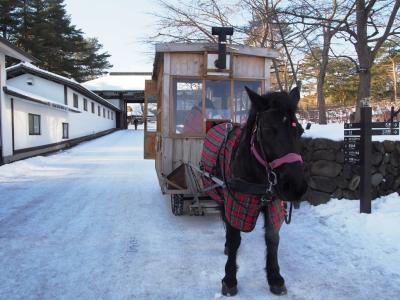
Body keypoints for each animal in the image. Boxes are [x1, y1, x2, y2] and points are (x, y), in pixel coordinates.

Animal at [202, 86, 308, 296]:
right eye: (267, 130)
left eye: (299, 131)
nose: (296, 187)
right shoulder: (235, 201)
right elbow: (234, 238)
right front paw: (229, 278)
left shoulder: (273, 204)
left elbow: (272, 238)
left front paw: (275, 277)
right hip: (221, 193)